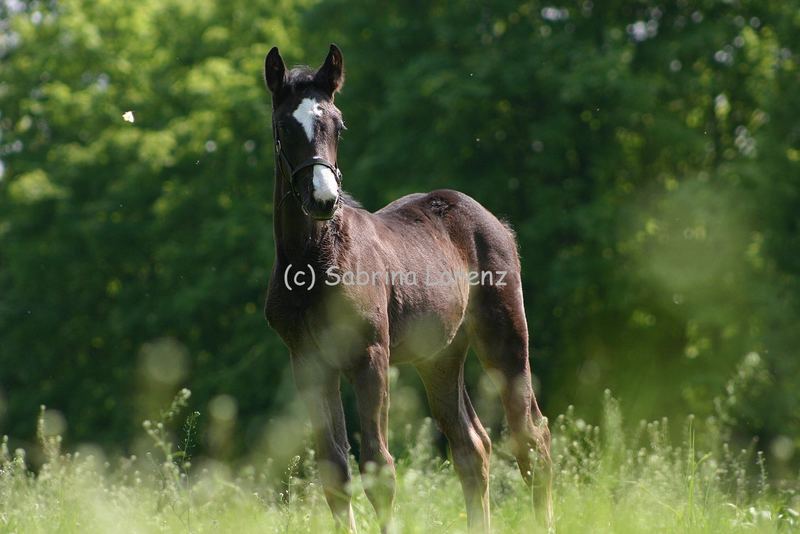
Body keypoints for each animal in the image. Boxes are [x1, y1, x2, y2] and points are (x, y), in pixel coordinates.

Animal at [262, 47, 552, 534]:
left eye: (338, 124)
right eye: (284, 127)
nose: (323, 199)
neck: (315, 263)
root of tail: (495, 222)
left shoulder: (370, 357)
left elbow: (379, 468)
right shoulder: (309, 362)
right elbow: (334, 470)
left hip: (506, 336)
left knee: (532, 437)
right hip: (440, 357)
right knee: (473, 447)